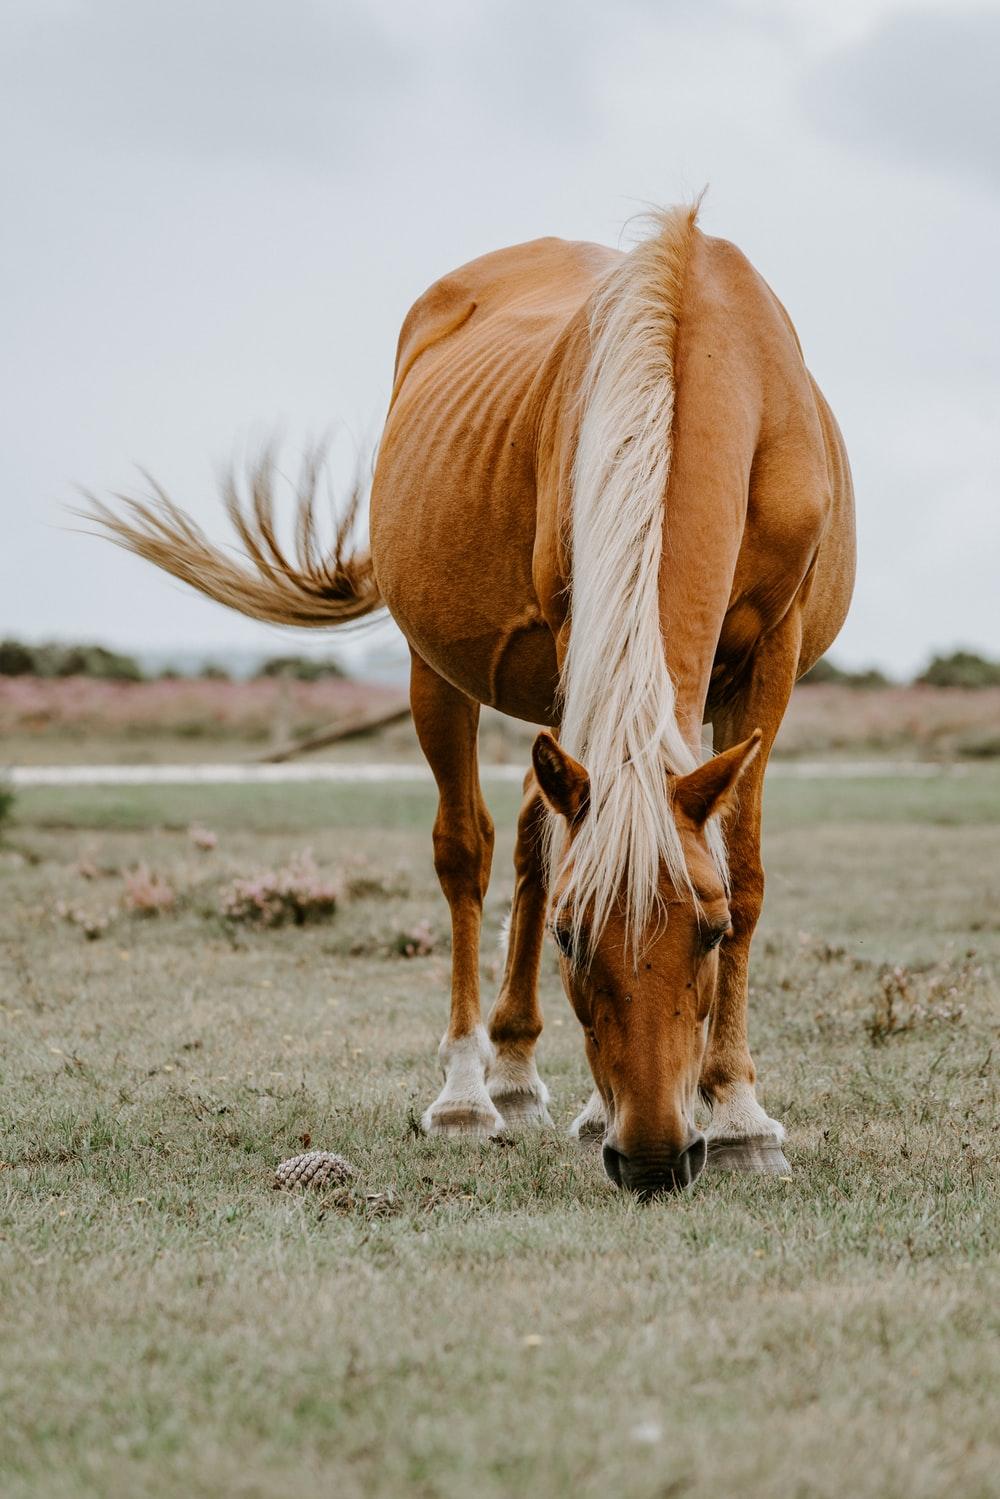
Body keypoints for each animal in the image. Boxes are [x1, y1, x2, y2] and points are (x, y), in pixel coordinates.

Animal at [91, 201, 855, 1198]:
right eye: (570, 936)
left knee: (535, 825)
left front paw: (738, 1117)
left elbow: (748, 868)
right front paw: (604, 1104)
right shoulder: (577, 628)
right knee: (473, 850)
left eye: (713, 930)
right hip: (439, 670)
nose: (652, 1156)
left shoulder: (773, 654)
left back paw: (531, 1078)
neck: (703, 353)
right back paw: (473, 1090)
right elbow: (534, 856)